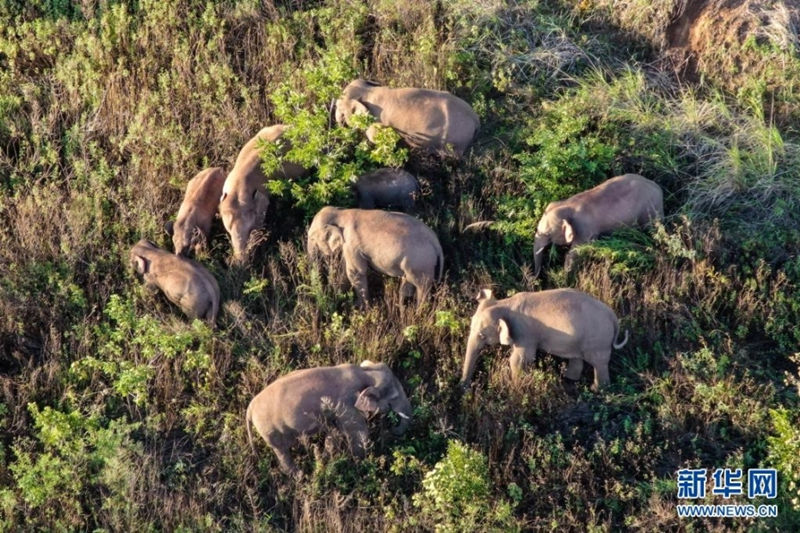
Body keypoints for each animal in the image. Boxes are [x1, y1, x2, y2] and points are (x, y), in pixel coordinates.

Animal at [245, 360, 412, 476]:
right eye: (394, 398)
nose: (391, 427)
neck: (365, 372)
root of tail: (250, 408)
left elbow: (335, 433)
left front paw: (325, 459)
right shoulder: (346, 404)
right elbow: (358, 433)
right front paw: (360, 464)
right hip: (270, 430)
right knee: (282, 451)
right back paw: (300, 476)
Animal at [306, 207, 443, 307]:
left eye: (312, 238)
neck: (340, 212)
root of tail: (436, 242)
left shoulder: (351, 245)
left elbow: (356, 272)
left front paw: (362, 308)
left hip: (421, 264)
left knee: (422, 288)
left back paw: (418, 313)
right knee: (407, 284)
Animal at [334, 79, 480, 158]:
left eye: (339, 108)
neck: (368, 91)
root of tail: (476, 118)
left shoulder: (376, 123)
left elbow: (375, 138)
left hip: (457, 140)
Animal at [460, 288, 628, 389]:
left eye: (481, 335)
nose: (464, 387)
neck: (505, 303)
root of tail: (613, 317)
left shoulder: (525, 333)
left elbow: (520, 360)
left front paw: (516, 387)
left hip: (598, 340)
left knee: (599, 363)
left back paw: (597, 389)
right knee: (577, 358)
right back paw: (569, 380)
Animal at [533, 174, 663, 277]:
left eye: (547, 234)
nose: (537, 278)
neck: (567, 204)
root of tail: (657, 187)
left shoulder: (584, 228)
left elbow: (575, 252)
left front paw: (564, 277)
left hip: (650, 210)